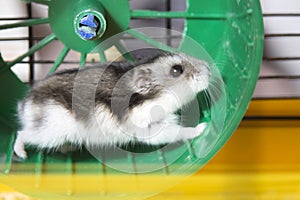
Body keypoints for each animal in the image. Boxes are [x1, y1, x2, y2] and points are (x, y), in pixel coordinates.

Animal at [12, 52, 210, 159]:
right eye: (177, 70)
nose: (209, 68)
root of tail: (24, 104)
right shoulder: (150, 129)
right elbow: (178, 131)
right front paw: (203, 127)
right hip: (48, 133)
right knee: (21, 134)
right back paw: (22, 155)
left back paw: (69, 149)